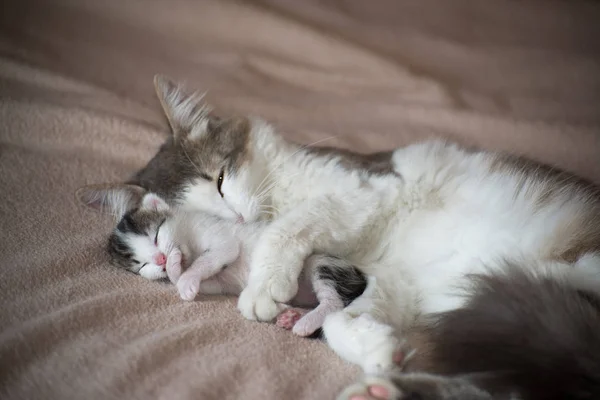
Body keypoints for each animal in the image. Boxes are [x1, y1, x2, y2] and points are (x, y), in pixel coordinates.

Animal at [95, 188, 366, 338]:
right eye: (142, 265)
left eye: (156, 235)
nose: (160, 258)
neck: (188, 243)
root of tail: (362, 278)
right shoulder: (220, 282)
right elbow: (206, 281)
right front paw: (177, 272)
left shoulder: (219, 237)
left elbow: (211, 257)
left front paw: (181, 272)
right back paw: (290, 315)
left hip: (322, 262)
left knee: (334, 303)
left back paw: (305, 323)